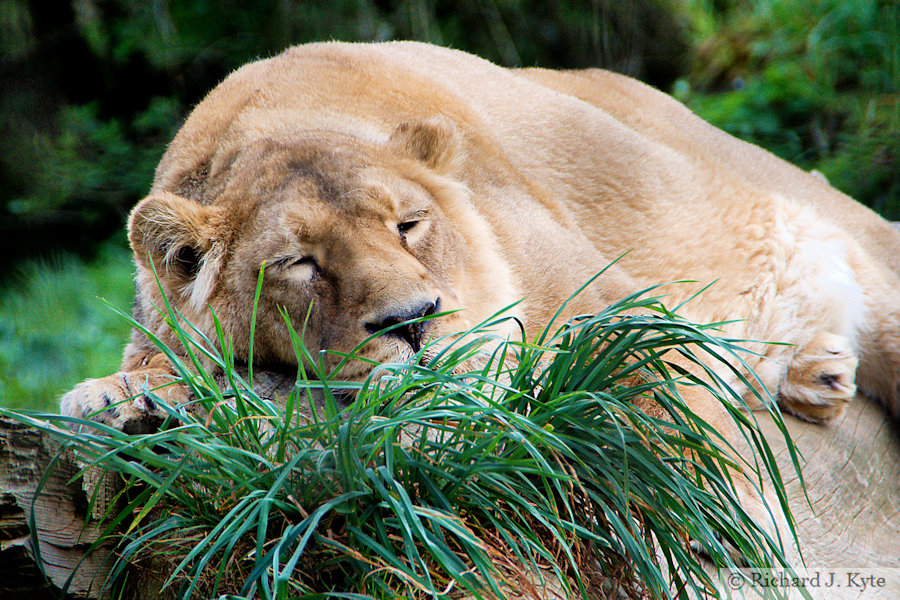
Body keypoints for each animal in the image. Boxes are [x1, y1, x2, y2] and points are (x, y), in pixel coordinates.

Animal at [59, 41, 900, 556]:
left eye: (408, 225)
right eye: (301, 264)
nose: (413, 323)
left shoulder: (616, 307)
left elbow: (675, 422)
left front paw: (732, 534)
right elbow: (149, 365)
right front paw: (122, 400)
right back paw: (816, 374)